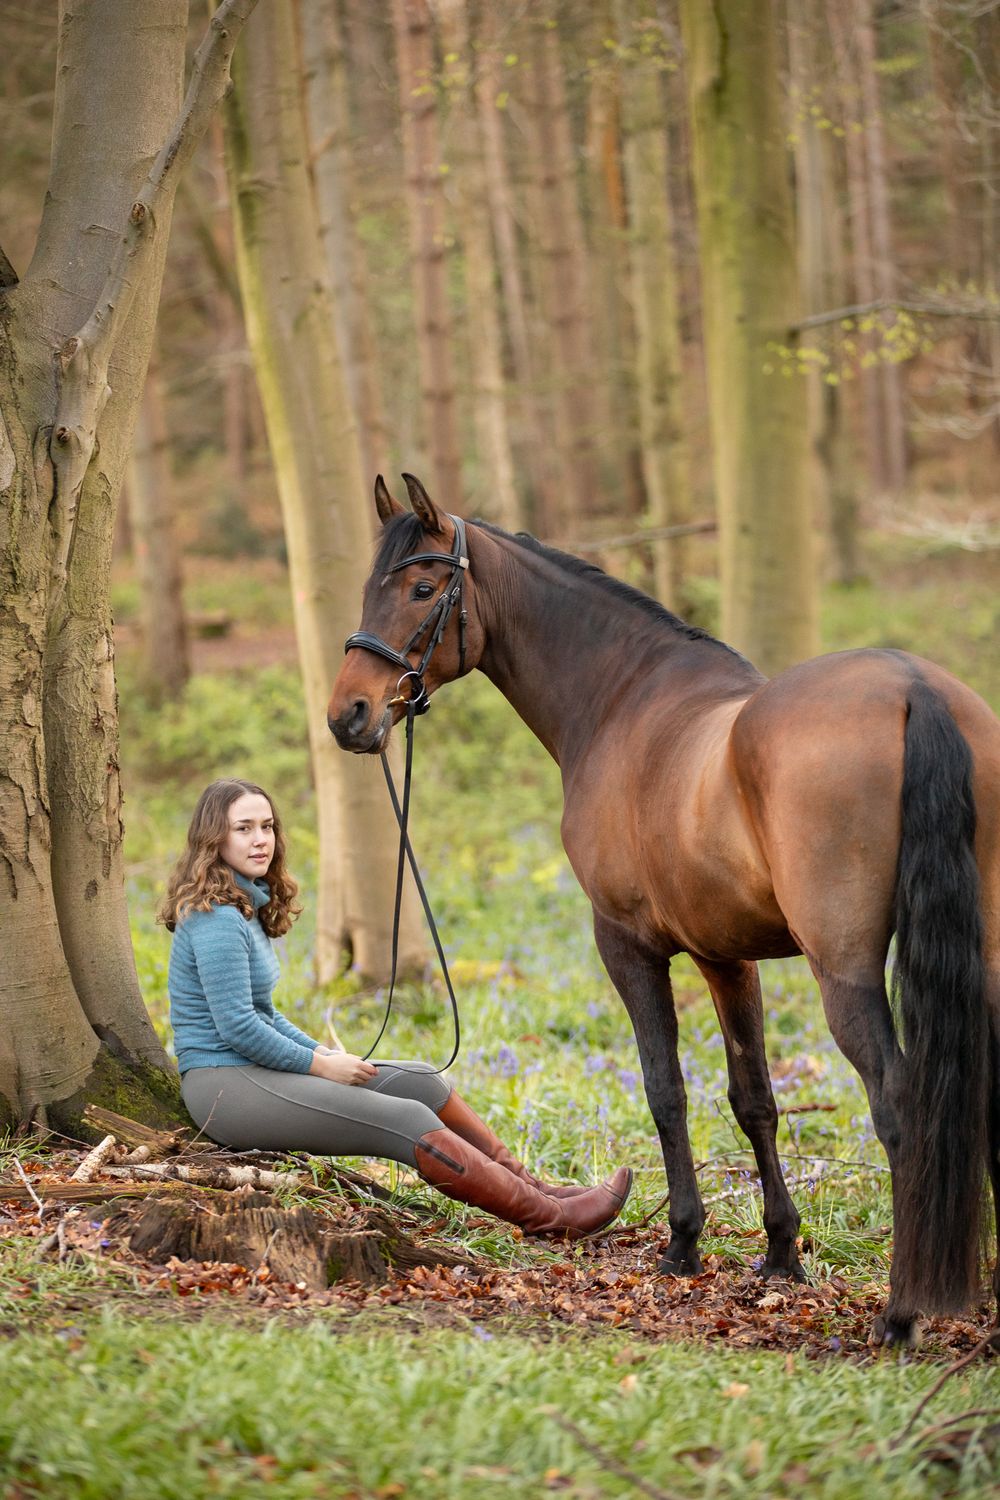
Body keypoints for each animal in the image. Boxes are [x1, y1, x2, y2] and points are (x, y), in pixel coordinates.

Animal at [327, 473, 1000, 1347]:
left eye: (420, 588)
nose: (349, 714)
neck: (621, 702)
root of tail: (915, 691)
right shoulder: (727, 956)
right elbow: (754, 1100)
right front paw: (781, 1254)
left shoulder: (627, 943)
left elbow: (663, 1088)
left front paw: (683, 1243)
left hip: (844, 969)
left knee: (899, 1106)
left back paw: (899, 1311)